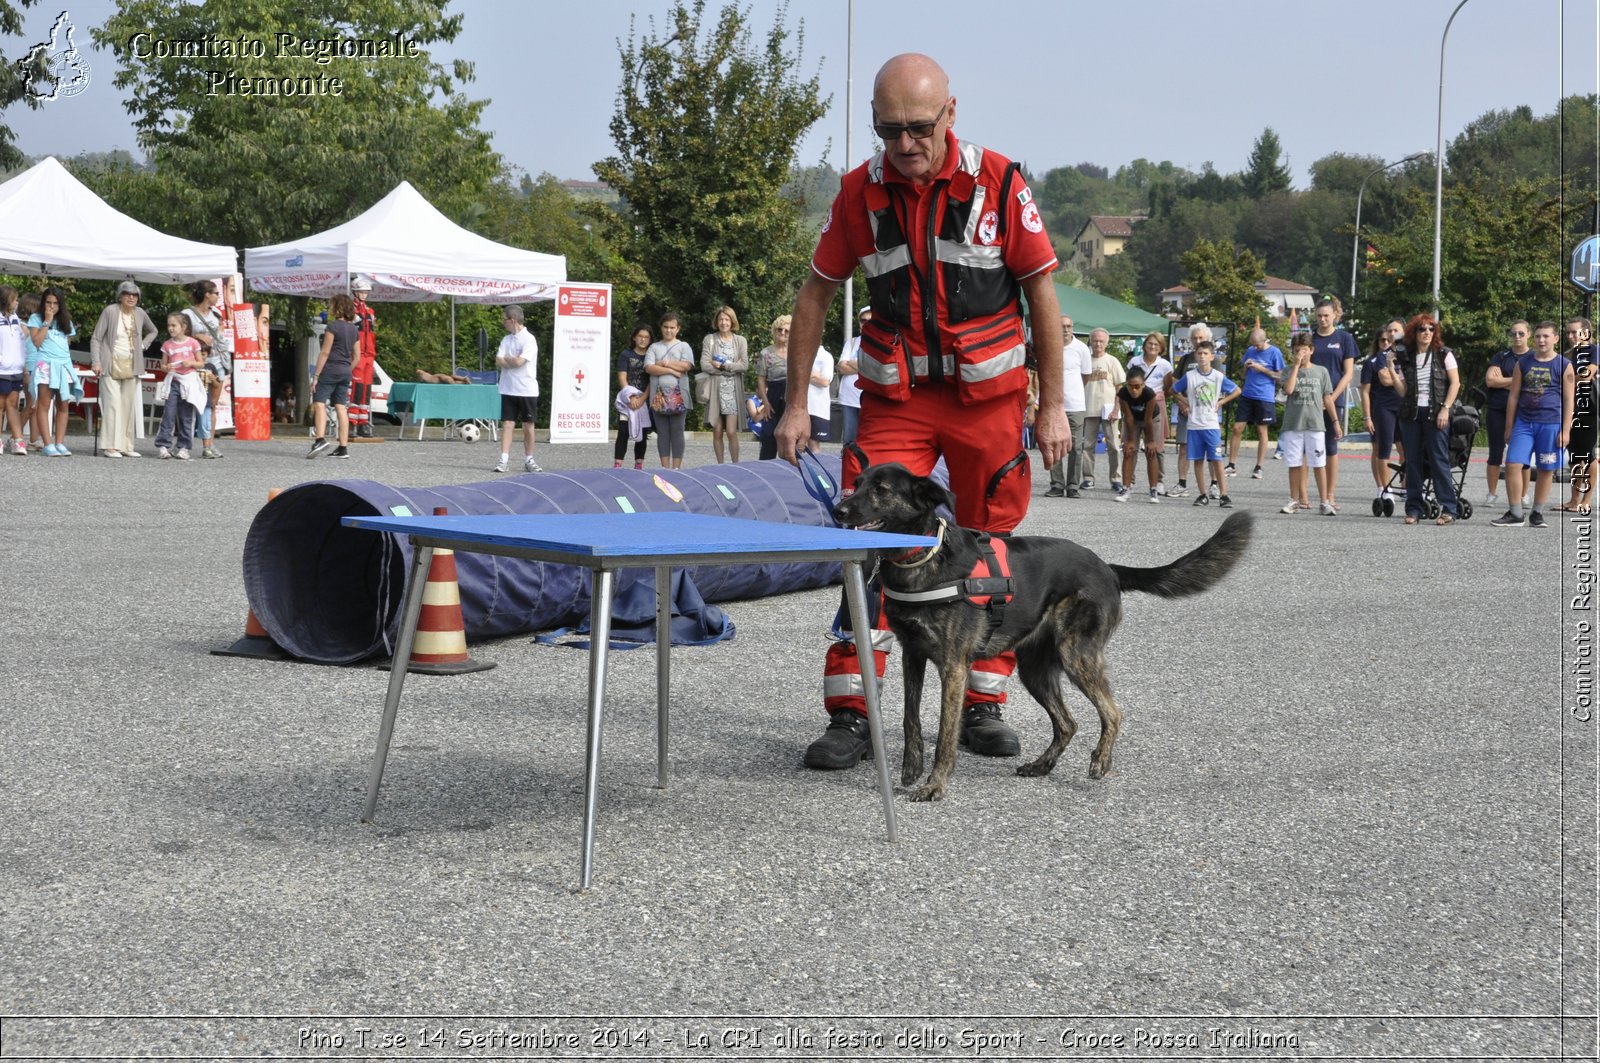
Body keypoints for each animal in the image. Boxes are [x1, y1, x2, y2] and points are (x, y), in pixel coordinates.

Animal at [832, 461, 1254, 800]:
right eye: (858, 481)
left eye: (881, 489)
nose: (838, 510)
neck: (923, 556)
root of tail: (1108, 567)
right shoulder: (913, 654)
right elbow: (911, 718)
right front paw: (911, 769)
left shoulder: (954, 666)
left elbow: (946, 732)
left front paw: (936, 784)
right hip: (1036, 669)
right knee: (1067, 723)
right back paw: (1042, 765)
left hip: (1076, 655)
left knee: (1112, 711)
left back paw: (1101, 761)